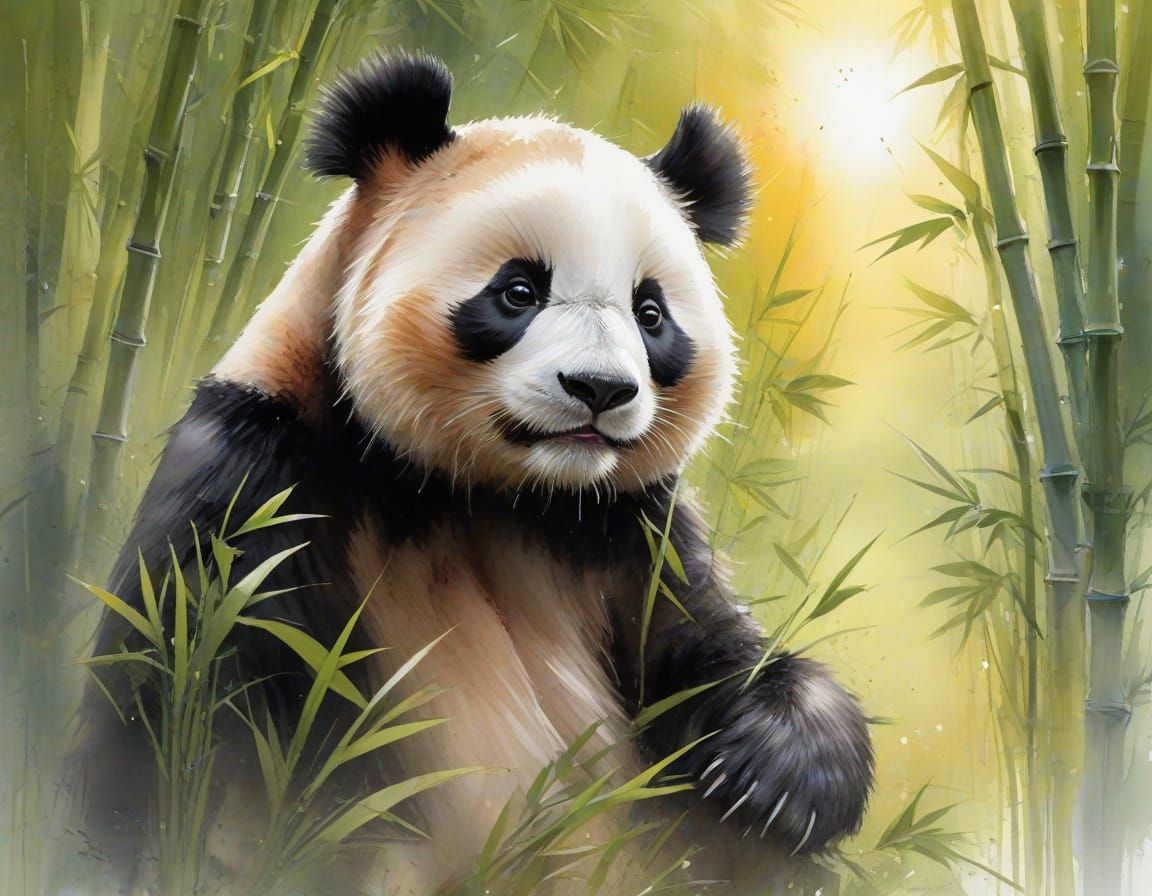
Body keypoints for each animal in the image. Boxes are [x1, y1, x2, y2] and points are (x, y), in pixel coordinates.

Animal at [74, 50, 873, 894]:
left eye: (650, 313)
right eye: (518, 290)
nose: (599, 389)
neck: (485, 490)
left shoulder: (625, 528)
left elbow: (704, 658)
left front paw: (775, 770)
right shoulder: (255, 481)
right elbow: (178, 702)